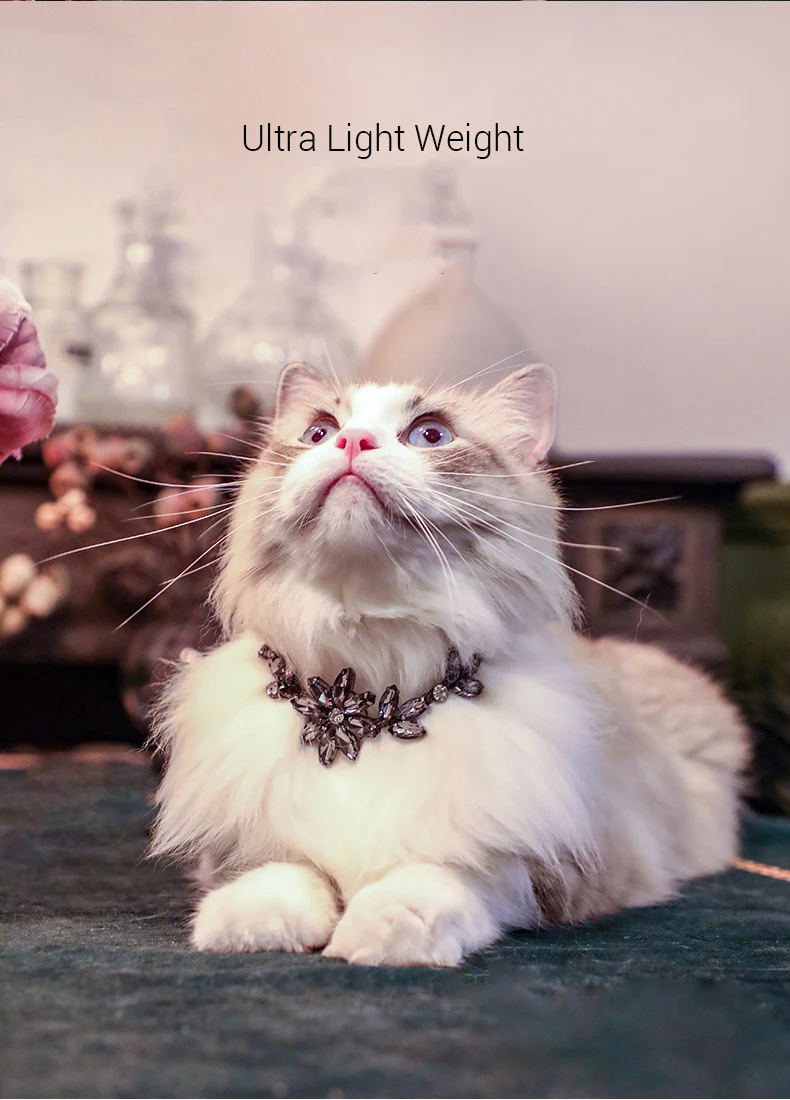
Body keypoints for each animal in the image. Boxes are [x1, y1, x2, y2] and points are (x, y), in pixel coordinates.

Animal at [149, 361, 749, 966]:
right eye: (319, 432)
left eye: (431, 435)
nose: (351, 441)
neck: (365, 707)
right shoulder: (251, 837)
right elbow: (288, 871)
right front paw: (248, 926)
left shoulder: (558, 862)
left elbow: (442, 874)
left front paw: (383, 931)